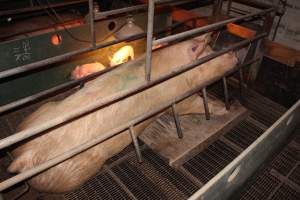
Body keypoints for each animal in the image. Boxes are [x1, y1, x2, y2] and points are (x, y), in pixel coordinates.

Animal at [7, 32, 239, 192]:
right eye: (210, 54)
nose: (234, 54)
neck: (176, 67)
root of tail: (25, 157)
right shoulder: (180, 97)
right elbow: (194, 105)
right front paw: (223, 109)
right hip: (76, 169)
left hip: (40, 112)